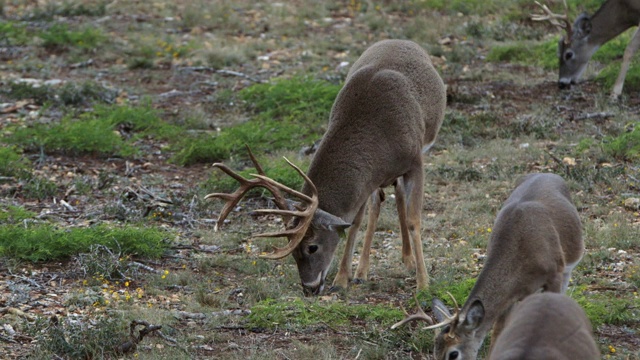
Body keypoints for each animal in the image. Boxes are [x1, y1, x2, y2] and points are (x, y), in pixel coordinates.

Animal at [205, 38, 444, 296]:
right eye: (292, 250)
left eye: (312, 247)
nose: (309, 288)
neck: (379, 136)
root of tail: (401, 40)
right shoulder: (367, 179)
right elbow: (355, 222)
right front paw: (342, 278)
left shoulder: (415, 161)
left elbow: (413, 220)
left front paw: (423, 284)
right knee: (380, 204)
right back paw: (364, 271)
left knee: (396, 199)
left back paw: (408, 261)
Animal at [390, 173, 584, 358]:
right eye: (434, 352)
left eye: (453, 353)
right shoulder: (510, 295)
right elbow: (497, 330)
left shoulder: (554, 274)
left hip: (567, 267)